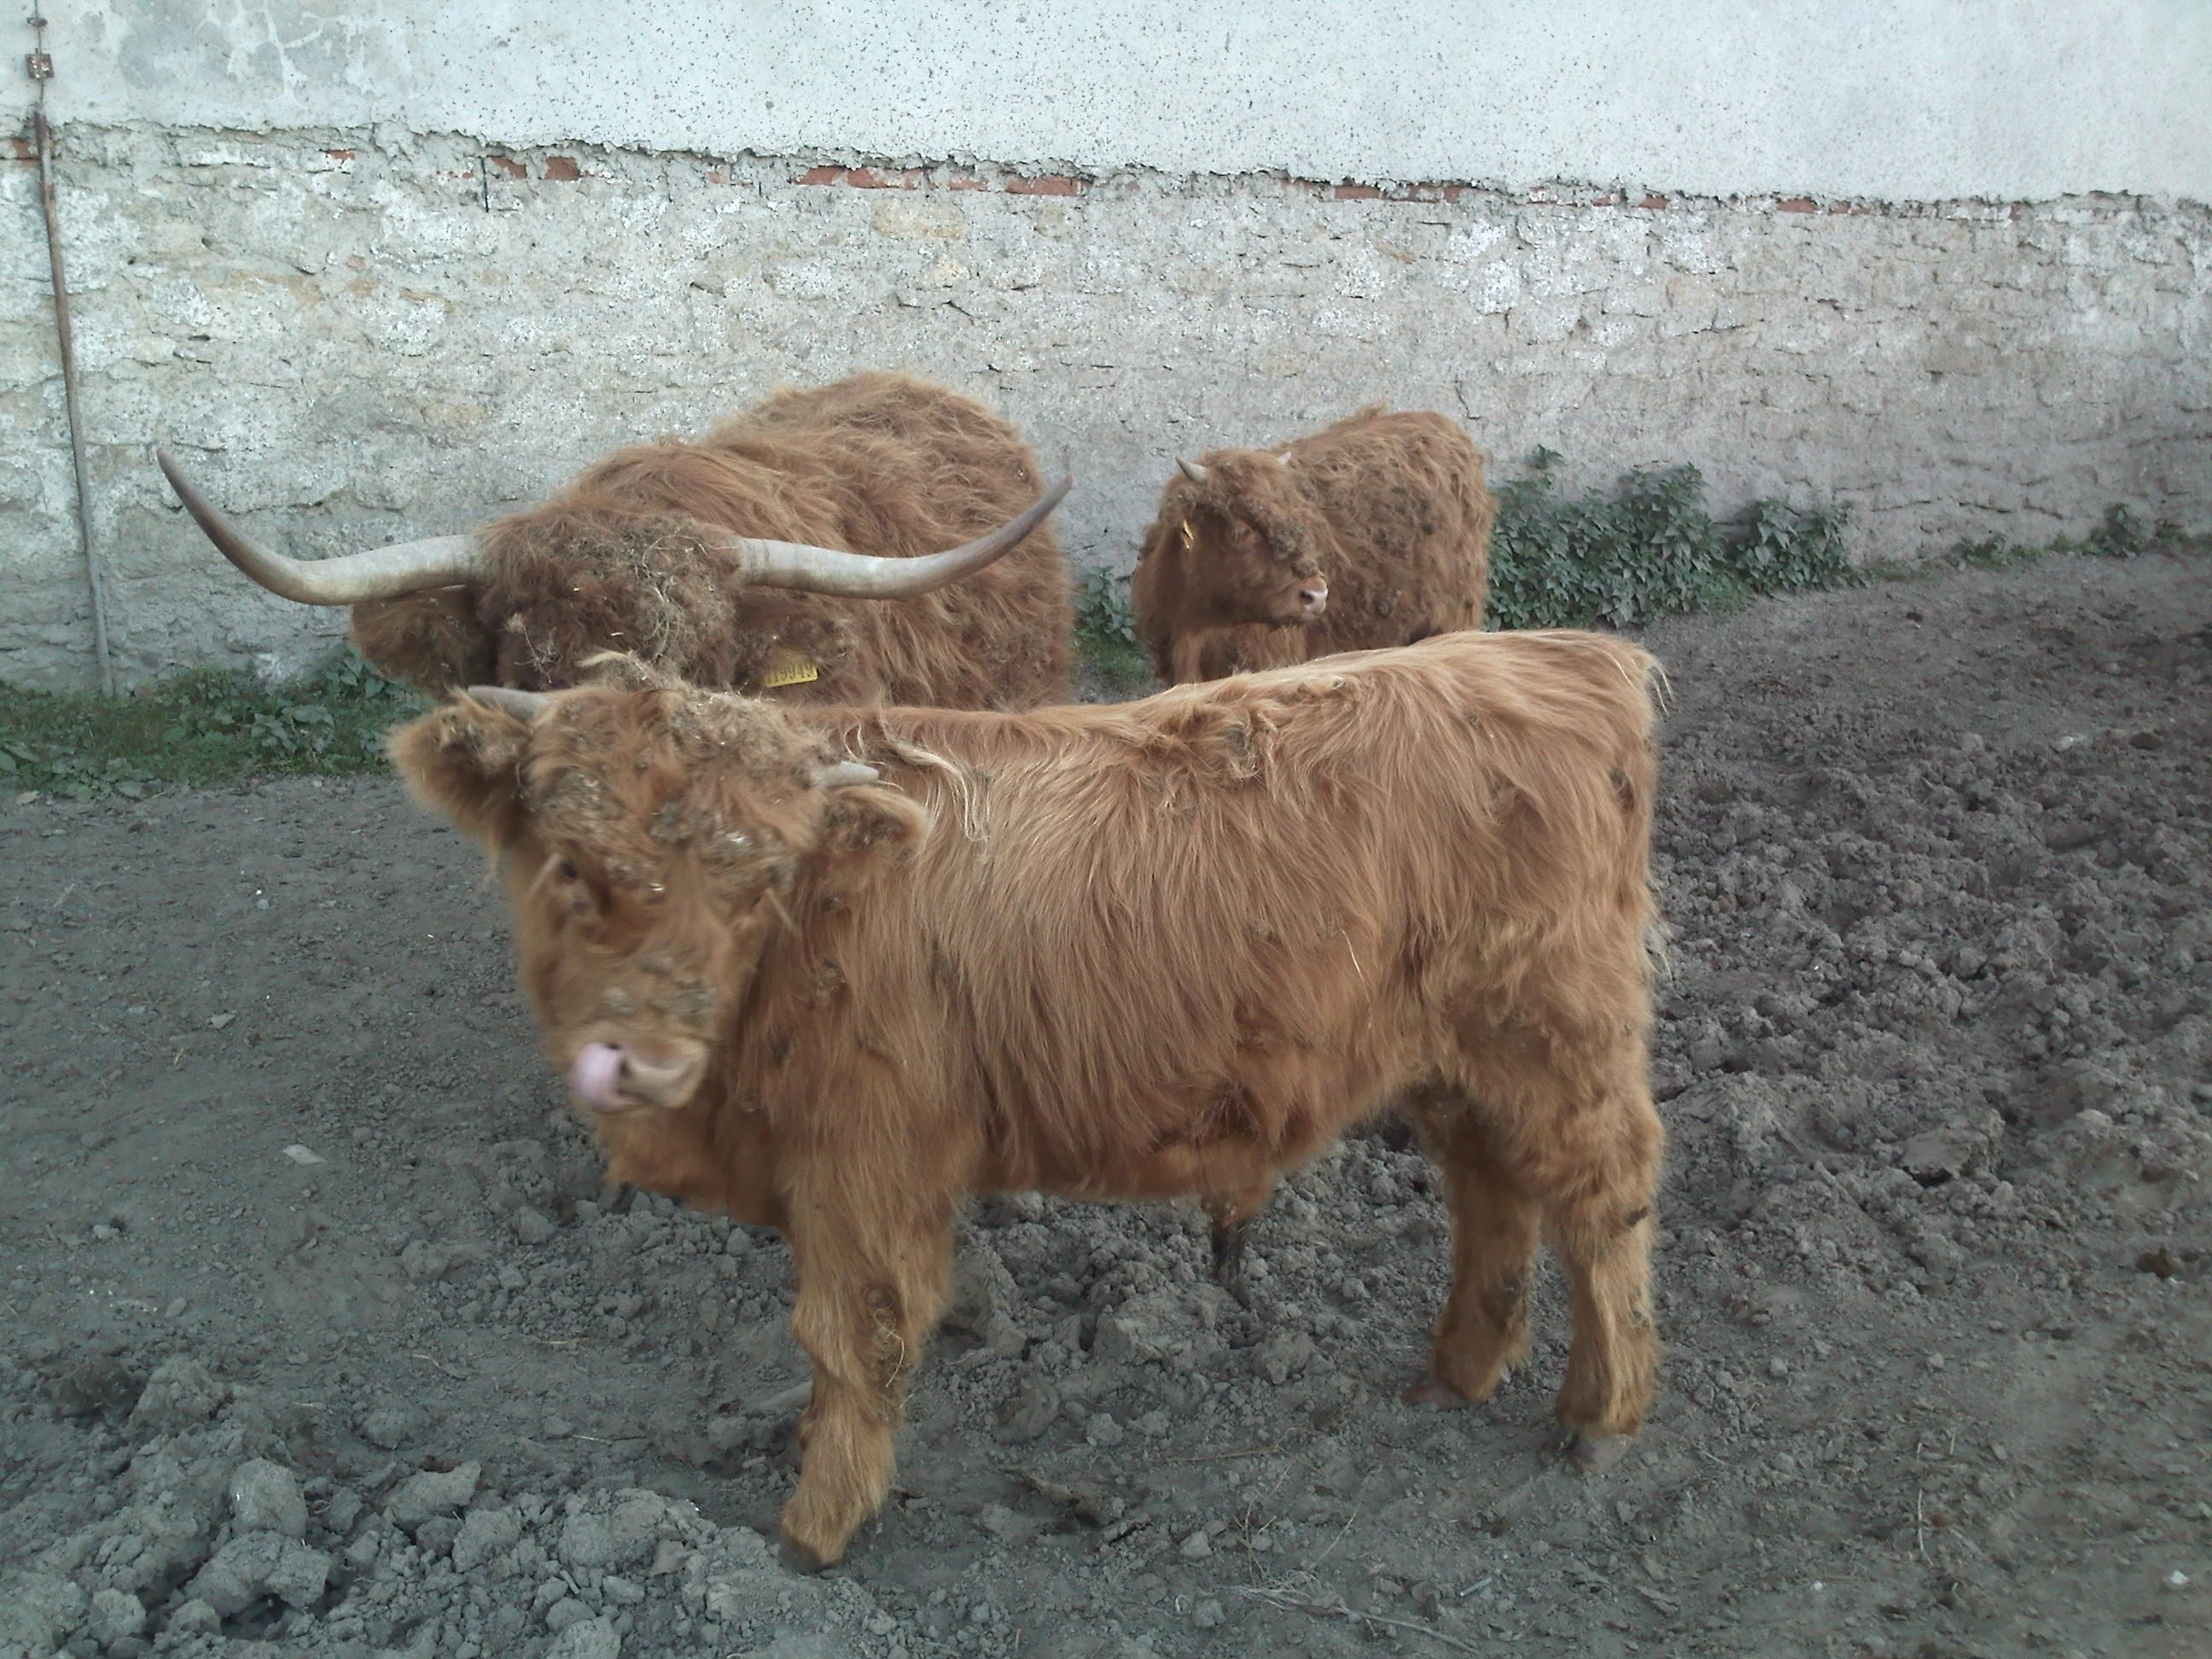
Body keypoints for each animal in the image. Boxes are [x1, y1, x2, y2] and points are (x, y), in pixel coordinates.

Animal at [388, 627, 1665, 1570]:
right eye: (567, 865)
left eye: (756, 881)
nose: (640, 1060)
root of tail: (1558, 653)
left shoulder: (862, 1160)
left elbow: (853, 1334)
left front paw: (814, 1529)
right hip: (1451, 1056)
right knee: (1492, 1186)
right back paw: (1459, 1369)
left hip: (1556, 1032)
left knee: (1601, 1196)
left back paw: (1600, 1417)